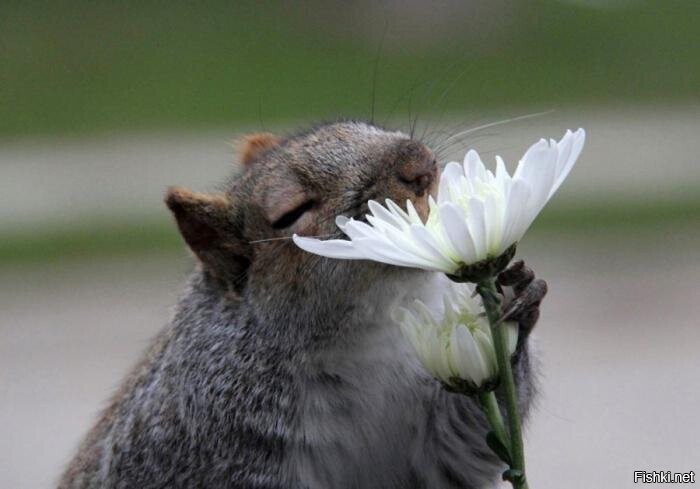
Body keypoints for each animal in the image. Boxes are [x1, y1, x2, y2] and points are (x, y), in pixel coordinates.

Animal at [59, 121, 547, 489]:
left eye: (363, 126)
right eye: (292, 212)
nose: (419, 162)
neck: (365, 337)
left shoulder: (431, 438)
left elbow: (466, 442)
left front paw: (516, 297)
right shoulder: (214, 442)